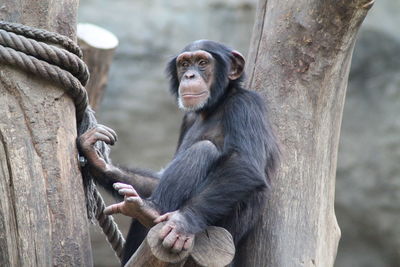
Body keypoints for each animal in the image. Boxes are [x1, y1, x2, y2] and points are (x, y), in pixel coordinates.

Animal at [77, 39, 278, 266]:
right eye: (184, 64)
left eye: (202, 62)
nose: (189, 75)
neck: (214, 106)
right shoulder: (187, 120)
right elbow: (158, 179)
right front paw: (97, 161)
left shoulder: (246, 105)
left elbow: (243, 162)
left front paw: (183, 222)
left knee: (204, 149)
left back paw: (151, 208)